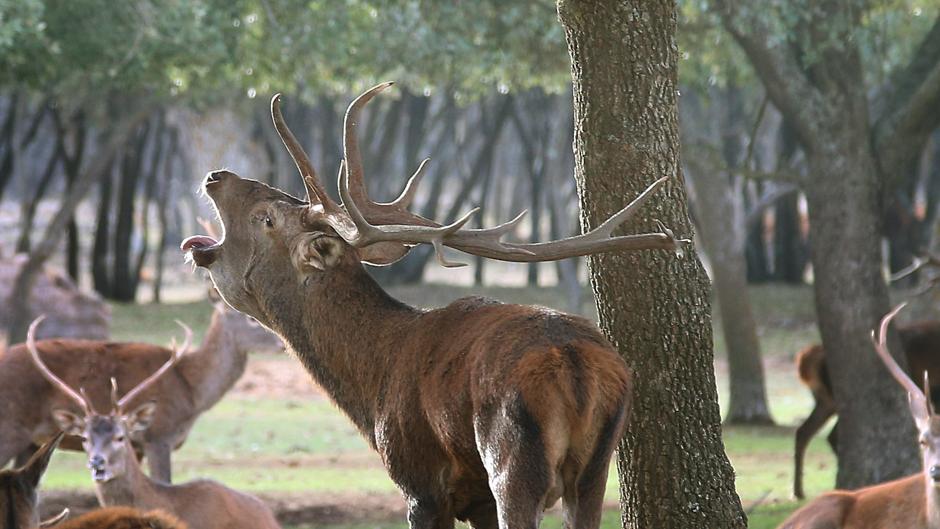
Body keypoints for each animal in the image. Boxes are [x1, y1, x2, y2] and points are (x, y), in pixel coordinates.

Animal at [1, 300, 284, 480]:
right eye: (252, 318)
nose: (284, 343)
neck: (191, 390)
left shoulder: (135, 445)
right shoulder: (158, 435)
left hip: (29, 441)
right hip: (10, 428)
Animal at [180, 82, 688, 528]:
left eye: (266, 218)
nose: (216, 176)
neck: (372, 387)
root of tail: (577, 364)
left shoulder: (421, 483)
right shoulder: (476, 497)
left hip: (513, 459)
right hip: (595, 471)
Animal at [784, 304, 940, 524]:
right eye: (922, 441)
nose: (936, 471)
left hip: (825, 401)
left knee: (806, 431)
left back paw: (798, 491)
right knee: (826, 434)